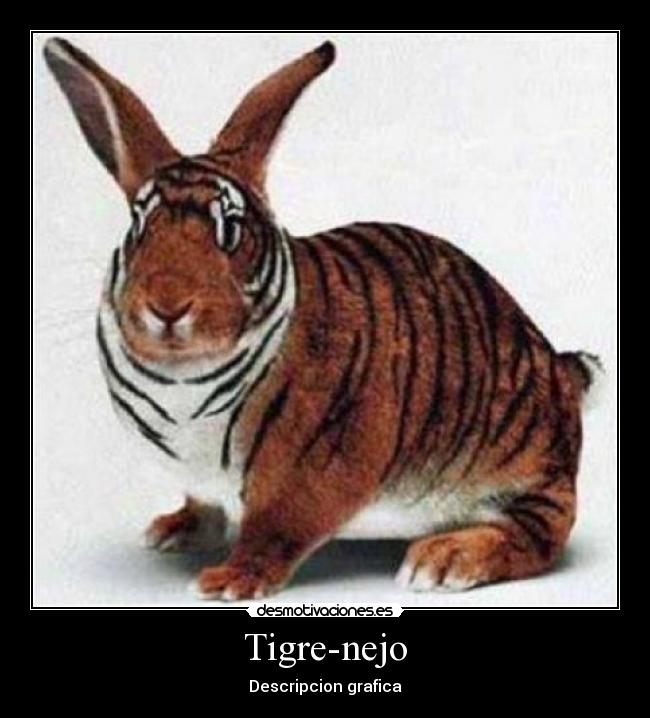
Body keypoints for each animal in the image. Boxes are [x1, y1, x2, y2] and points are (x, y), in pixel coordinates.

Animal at [44, 37, 600, 599]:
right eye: (139, 228)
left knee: (543, 532)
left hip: (522, 464)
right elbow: (204, 503)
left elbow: (276, 528)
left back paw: (443, 560)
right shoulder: (202, 481)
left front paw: (228, 581)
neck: (181, 379)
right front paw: (173, 530)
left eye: (231, 230)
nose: (167, 304)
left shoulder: (312, 469)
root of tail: (560, 371)